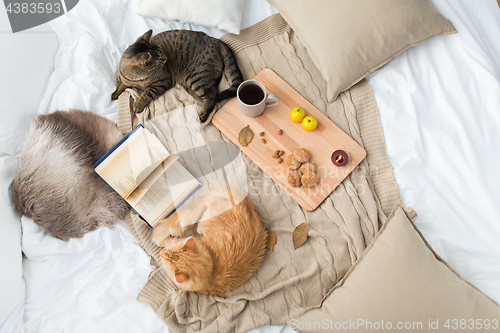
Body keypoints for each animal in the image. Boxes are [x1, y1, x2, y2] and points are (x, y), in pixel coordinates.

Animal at [112, 29, 244, 122]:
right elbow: (122, 85)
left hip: (195, 77)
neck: (138, 79)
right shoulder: (125, 79)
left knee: (213, 94)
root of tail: (214, 39)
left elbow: (146, 93)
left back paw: (203, 115)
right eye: (159, 59)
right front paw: (115, 94)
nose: (166, 57)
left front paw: (138, 104)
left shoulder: (162, 82)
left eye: (161, 51)